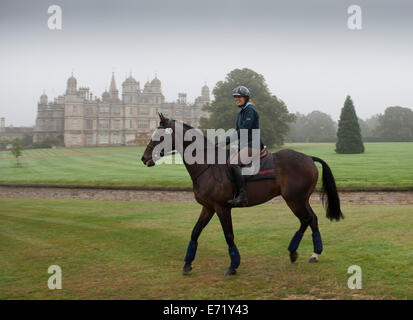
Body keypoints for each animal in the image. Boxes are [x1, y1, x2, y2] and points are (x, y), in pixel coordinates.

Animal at [140, 114, 342, 276]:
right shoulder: (208, 208)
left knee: (306, 219)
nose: (144, 158)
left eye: (160, 136)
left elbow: (229, 236)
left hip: (295, 200)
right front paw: (187, 264)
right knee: (311, 219)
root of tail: (308, 158)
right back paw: (306, 253)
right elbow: (195, 232)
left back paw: (302, 252)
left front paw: (233, 266)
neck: (207, 165)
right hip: (300, 200)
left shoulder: (222, 208)